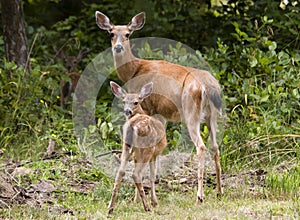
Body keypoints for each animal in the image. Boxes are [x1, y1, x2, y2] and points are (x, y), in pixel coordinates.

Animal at [96, 10, 223, 203]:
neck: (134, 70)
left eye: (128, 34)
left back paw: (199, 196)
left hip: (191, 112)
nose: (117, 47)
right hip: (212, 114)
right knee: (215, 146)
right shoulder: (161, 112)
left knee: (201, 147)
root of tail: (209, 86)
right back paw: (219, 191)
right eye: (111, 33)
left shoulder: (149, 107)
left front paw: (137, 198)